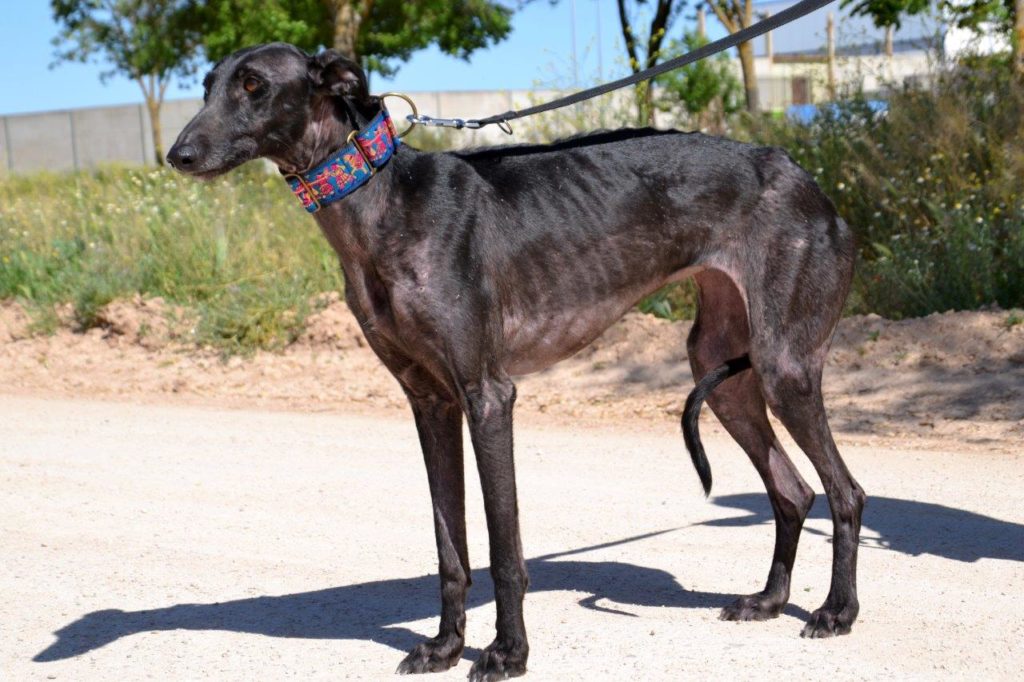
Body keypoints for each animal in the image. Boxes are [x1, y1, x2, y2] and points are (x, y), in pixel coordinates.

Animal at [167, 43, 864, 679]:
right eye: (206, 85)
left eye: (254, 85)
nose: (178, 156)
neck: (383, 202)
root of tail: (809, 182)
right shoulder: (430, 402)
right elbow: (450, 545)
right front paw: (445, 647)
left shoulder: (487, 395)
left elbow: (503, 545)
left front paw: (507, 653)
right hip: (719, 372)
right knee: (793, 490)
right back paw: (769, 600)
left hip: (782, 366)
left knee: (845, 492)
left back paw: (837, 612)